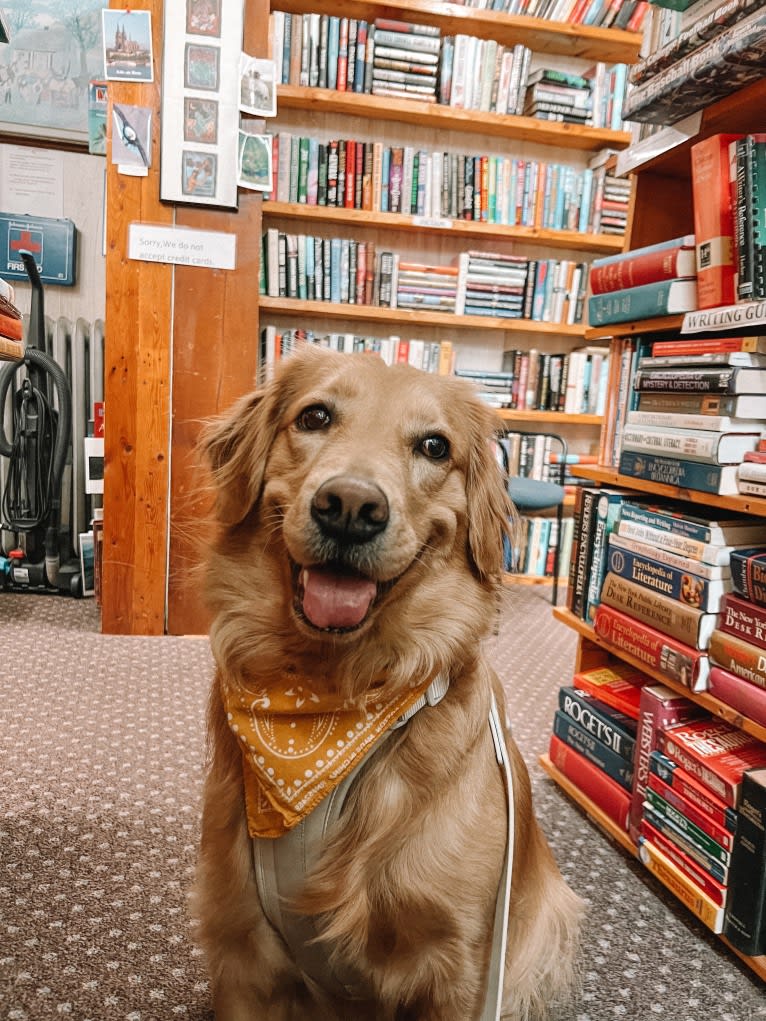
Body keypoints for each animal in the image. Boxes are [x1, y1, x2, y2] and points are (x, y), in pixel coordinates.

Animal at [193, 347, 580, 1016]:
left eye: (434, 446)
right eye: (314, 416)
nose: (350, 508)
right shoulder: (240, 947)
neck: (334, 692)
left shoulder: (463, 969)